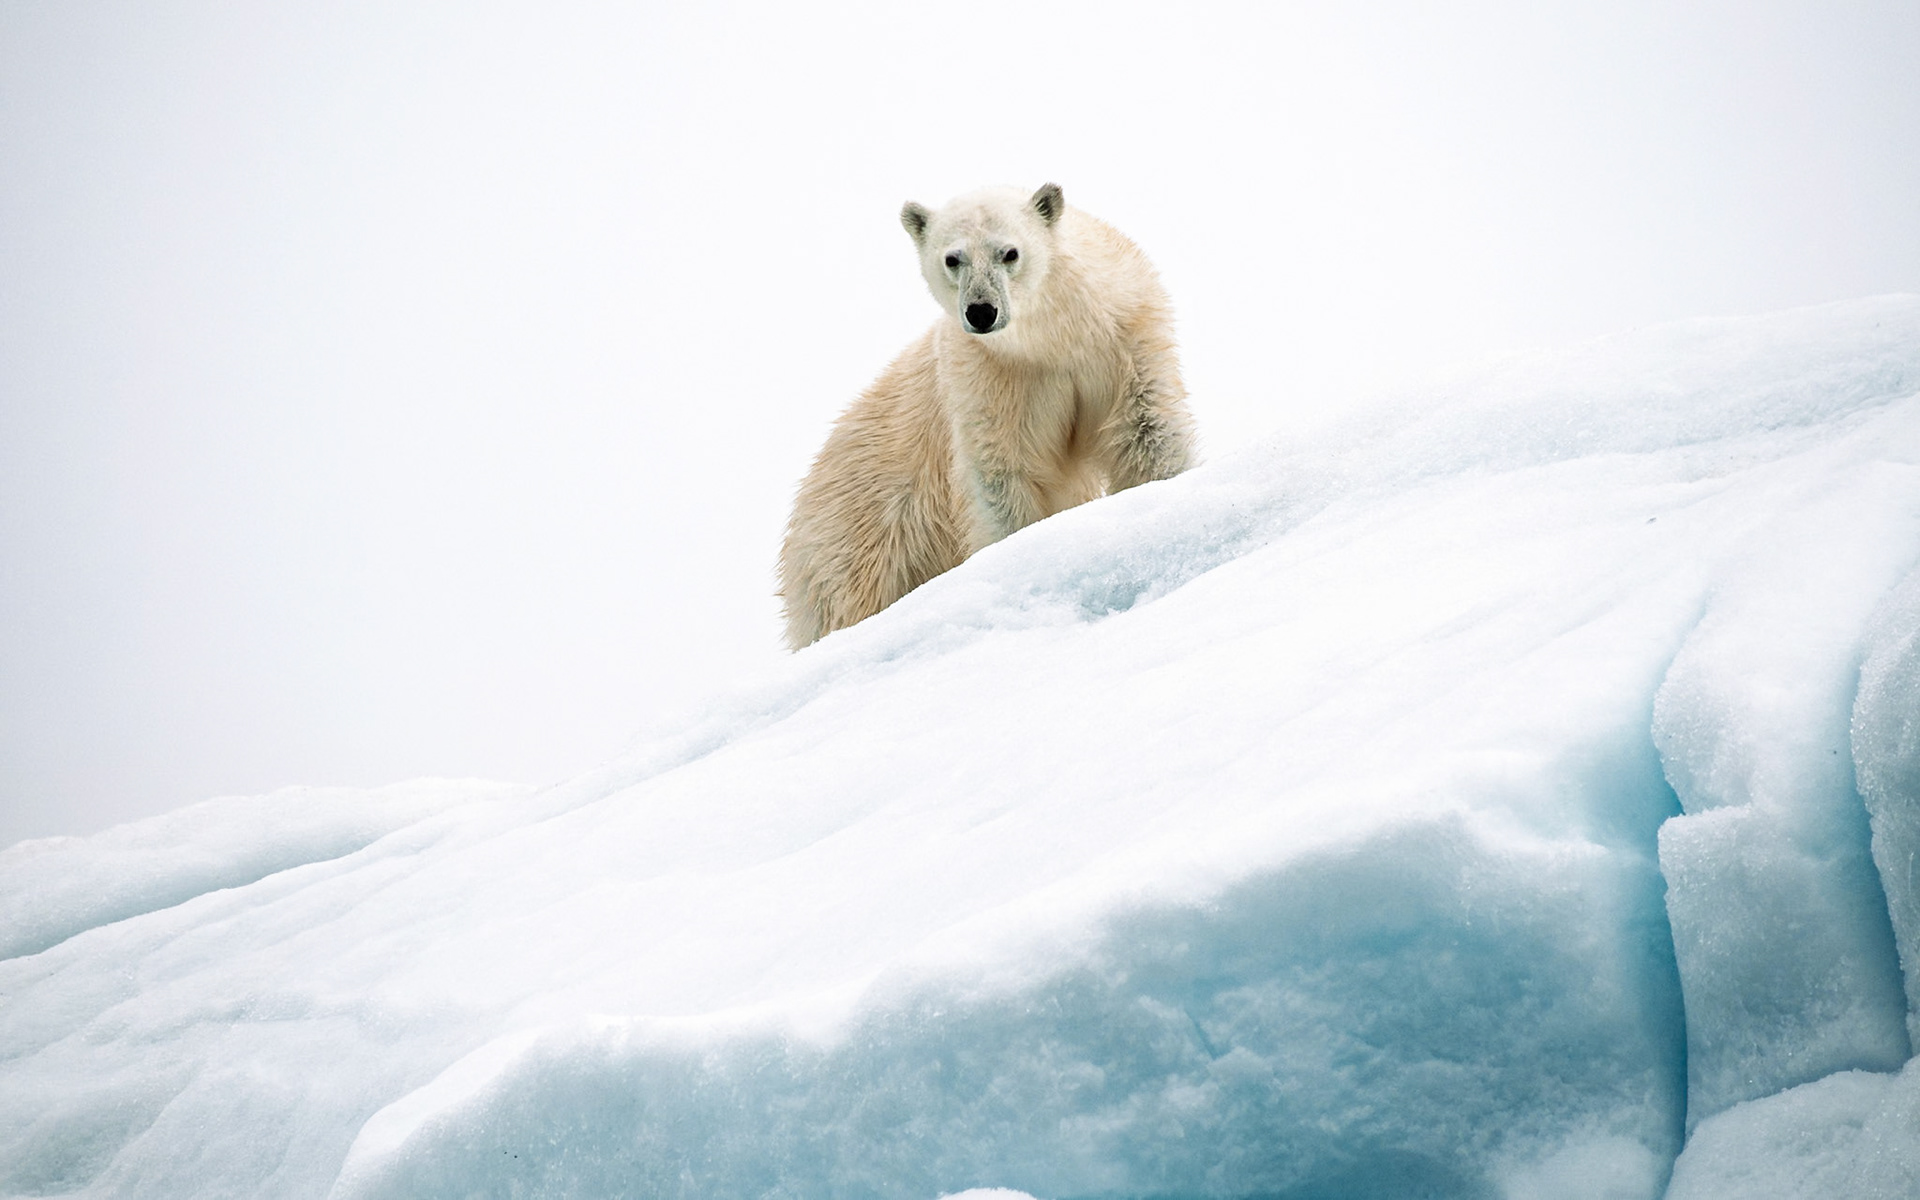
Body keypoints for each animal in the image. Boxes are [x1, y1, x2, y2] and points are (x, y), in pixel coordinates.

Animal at [777, 183, 1195, 649]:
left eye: (1009, 252)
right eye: (952, 258)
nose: (981, 311)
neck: (1055, 338)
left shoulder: (1124, 337)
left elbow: (1145, 429)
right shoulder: (987, 377)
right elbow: (1002, 473)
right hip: (857, 537)